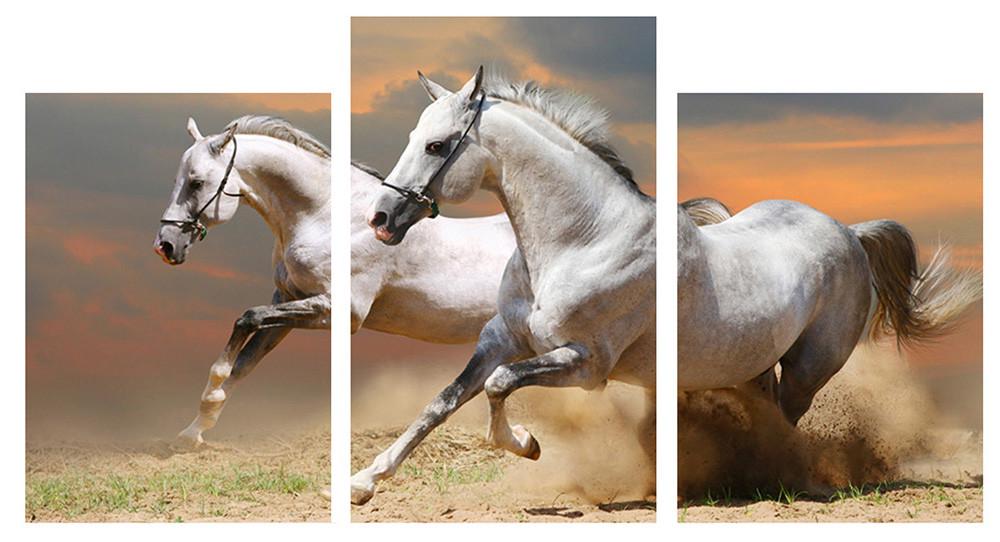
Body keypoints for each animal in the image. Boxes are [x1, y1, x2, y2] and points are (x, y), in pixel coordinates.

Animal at [154, 116, 331, 447]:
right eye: (175, 182)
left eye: (197, 183)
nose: (164, 246)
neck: (321, 216)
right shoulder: (291, 300)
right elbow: (246, 361)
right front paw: (194, 430)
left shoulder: (330, 307)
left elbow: (247, 319)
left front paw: (212, 394)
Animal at [355, 67, 656, 504]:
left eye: (435, 146)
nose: (379, 218)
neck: (582, 241)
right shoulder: (502, 340)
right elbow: (444, 401)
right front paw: (364, 479)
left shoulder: (586, 363)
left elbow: (499, 384)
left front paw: (525, 442)